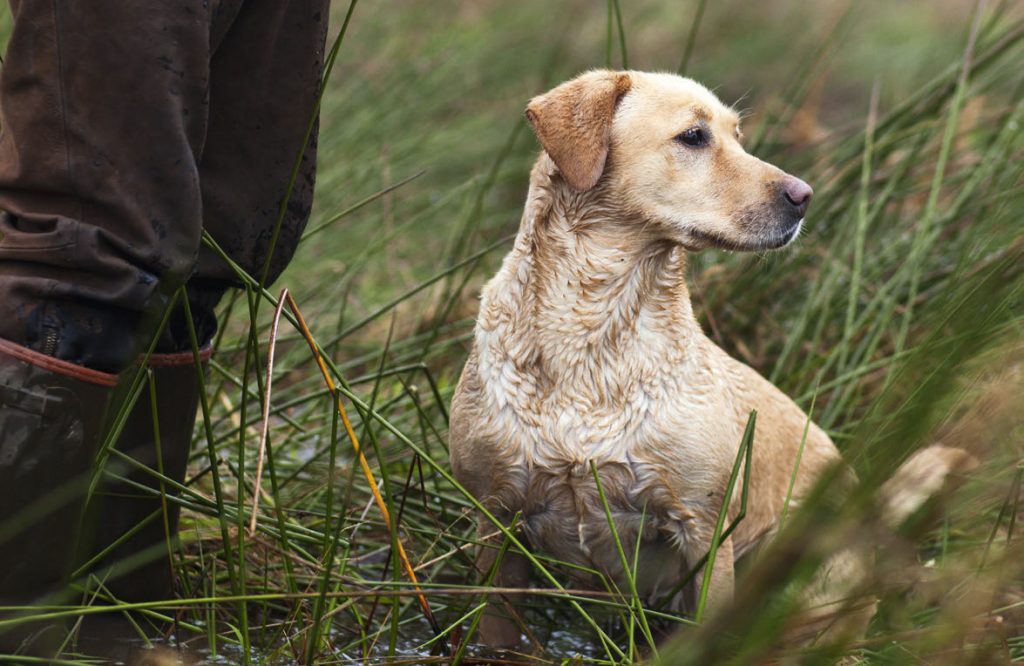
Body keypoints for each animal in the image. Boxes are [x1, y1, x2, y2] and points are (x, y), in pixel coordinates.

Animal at [448, 70, 966, 647]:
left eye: (738, 135)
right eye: (694, 136)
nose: (804, 196)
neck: (591, 327)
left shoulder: (704, 529)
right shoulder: (495, 521)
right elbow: (494, 632)